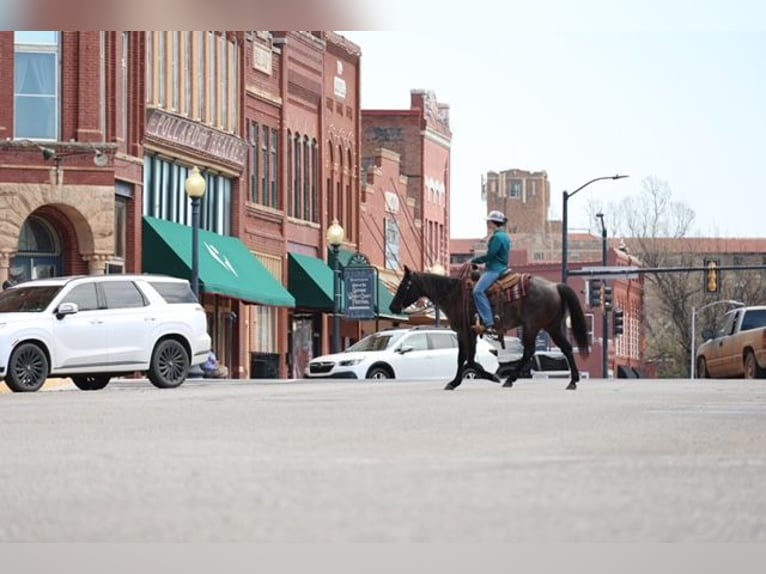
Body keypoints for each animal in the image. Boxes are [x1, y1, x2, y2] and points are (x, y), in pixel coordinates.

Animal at [389, 263, 591, 391]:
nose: (393, 307)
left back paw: (509, 379)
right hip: (551, 325)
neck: (454, 295)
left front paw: (485, 377)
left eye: (405, 284)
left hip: (532, 326)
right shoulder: (465, 332)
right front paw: (458, 381)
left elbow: (467, 359)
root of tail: (555, 286)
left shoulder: (465, 331)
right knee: (565, 347)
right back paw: (572, 381)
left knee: (529, 351)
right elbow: (465, 358)